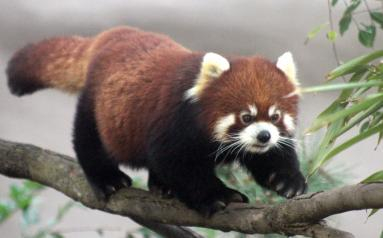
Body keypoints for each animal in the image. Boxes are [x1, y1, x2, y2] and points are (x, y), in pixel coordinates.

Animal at [6, 26, 308, 216]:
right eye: (246, 117)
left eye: (275, 116)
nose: (264, 136)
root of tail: (112, 35)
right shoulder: (175, 123)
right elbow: (178, 165)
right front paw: (217, 196)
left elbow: (271, 157)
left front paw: (287, 181)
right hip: (98, 105)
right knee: (88, 138)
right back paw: (107, 178)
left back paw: (161, 185)